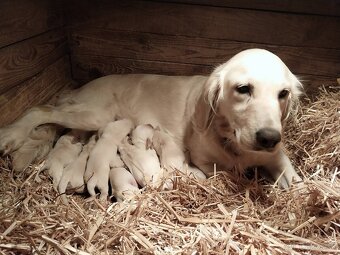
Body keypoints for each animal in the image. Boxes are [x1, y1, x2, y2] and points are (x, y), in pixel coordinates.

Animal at [0, 48, 302, 188]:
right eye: (243, 89)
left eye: (283, 93)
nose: (269, 138)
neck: (231, 140)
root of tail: (80, 88)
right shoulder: (205, 161)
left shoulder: (277, 157)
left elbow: (295, 180)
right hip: (93, 115)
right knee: (40, 110)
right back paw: (10, 135)